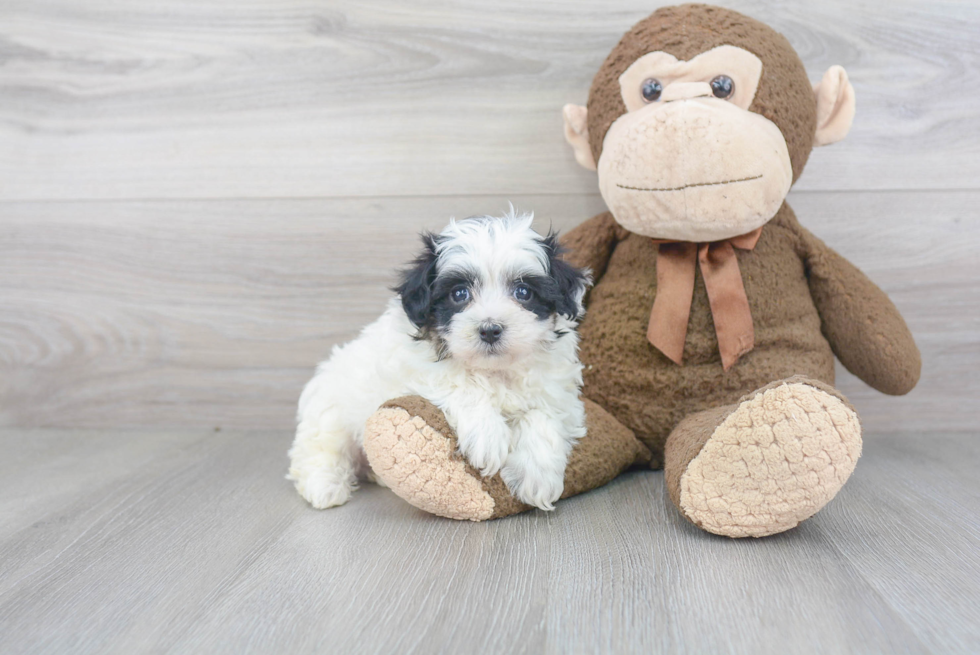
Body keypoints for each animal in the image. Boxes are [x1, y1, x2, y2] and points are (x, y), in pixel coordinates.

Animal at [284, 210, 588, 512]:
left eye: (523, 292)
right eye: (459, 294)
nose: (490, 329)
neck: (493, 370)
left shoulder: (558, 393)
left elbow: (543, 415)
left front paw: (536, 475)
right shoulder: (412, 370)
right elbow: (460, 384)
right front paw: (487, 436)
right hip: (330, 412)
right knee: (320, 448)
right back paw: (325, 486)